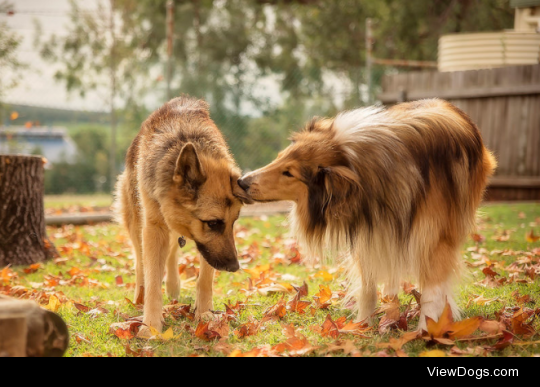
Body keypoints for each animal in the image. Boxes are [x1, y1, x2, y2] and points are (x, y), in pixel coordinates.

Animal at [115, 96, 252, 334]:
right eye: (213, 223)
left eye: (233, 222)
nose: (235, 267)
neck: (184, 139)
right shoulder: (154, 228)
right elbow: (152, 279)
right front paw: (150, 325)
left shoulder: (204, 246)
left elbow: (205, 279)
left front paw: (204, 314)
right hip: (136, 222)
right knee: (140, 263)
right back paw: (140, 296)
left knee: (170, 254)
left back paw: (173, 287)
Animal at [240, 100, 498, 330]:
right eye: (279, 157)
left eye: (289, 173)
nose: (241, 182)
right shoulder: (369, 228)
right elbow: (367, 284)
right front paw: (362, 325)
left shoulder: (435, 237)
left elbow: (432, 290)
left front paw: (429, 329)